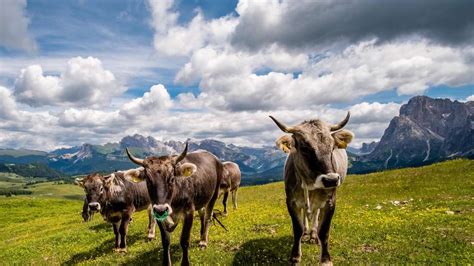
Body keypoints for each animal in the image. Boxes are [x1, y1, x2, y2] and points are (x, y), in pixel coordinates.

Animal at [268, 112, 354, 266]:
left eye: (332, 146)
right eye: (304, 148)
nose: (331, 179)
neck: (310, 184)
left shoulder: (330, 201)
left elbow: (324, 231)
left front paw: (326, 259)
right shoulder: (291, 201)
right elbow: (297, 229)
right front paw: (295, 256)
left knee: (315, 213)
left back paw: (313, 235)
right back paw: (307, 233)